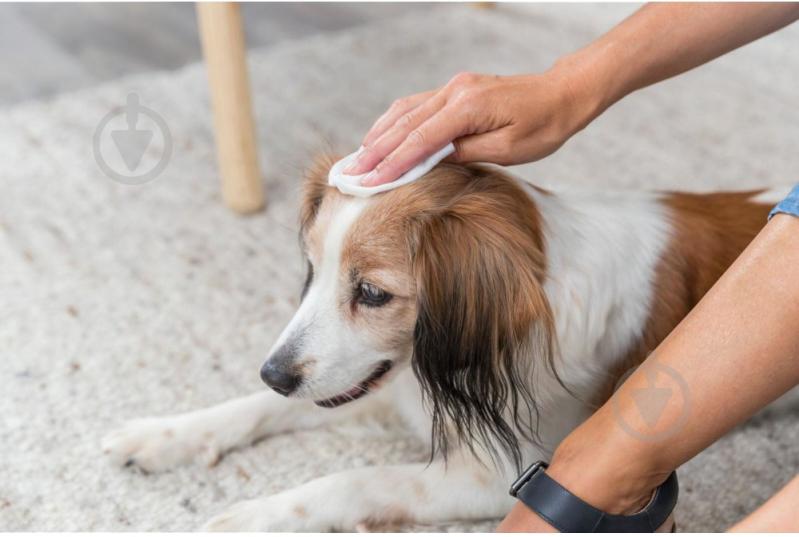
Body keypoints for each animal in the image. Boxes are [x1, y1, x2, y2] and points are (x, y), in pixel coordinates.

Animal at [101, 156, 780, 532]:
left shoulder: (510, 474)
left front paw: (256, 514)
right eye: (313, 270)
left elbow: (353, 481)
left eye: (373, 293)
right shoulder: (380, 378)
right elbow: (257, 408)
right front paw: (166, 434)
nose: (273, 371)